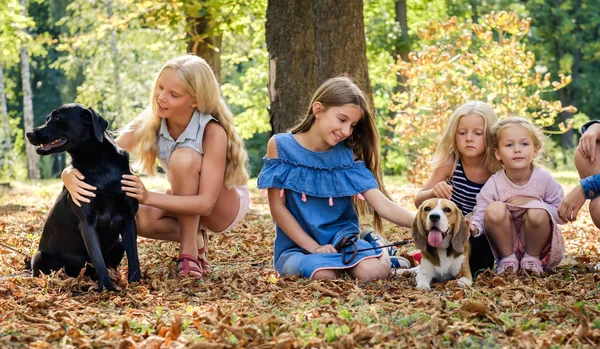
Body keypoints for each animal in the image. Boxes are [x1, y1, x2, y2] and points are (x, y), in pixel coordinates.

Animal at [25, 103, 141, 290]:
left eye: (57, 117)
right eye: (48, 118)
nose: (29, 133)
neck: (98, 162)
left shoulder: (129, 218)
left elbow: (134, 256)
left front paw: (136, 283)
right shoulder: (87, 222)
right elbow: (98, 258)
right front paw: (107, 288)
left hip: (118, 243)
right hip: (40, 257)